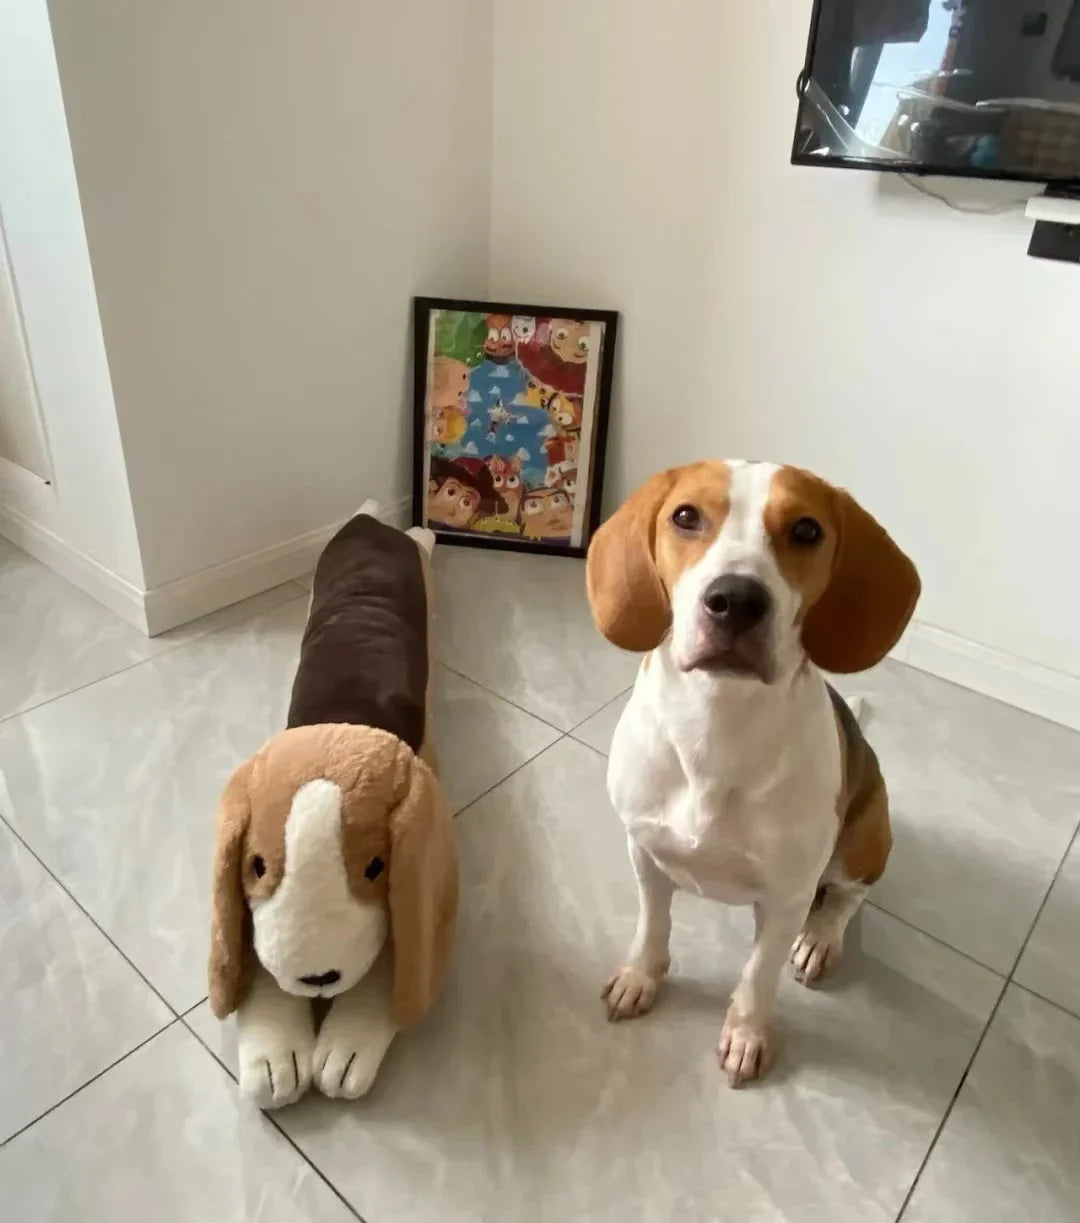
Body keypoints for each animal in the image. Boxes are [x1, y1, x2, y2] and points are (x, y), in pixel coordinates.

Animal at [587, 462, 914, 1086]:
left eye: (807, 530)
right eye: (685, 516)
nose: (735, 599)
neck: (717, 726)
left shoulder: (787, 895)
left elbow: (759, 974)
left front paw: (746, 1032)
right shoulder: (643, 850)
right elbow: (652, 924)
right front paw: (642, 976)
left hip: (866, 837)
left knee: (848, 898)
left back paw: (820, 938)